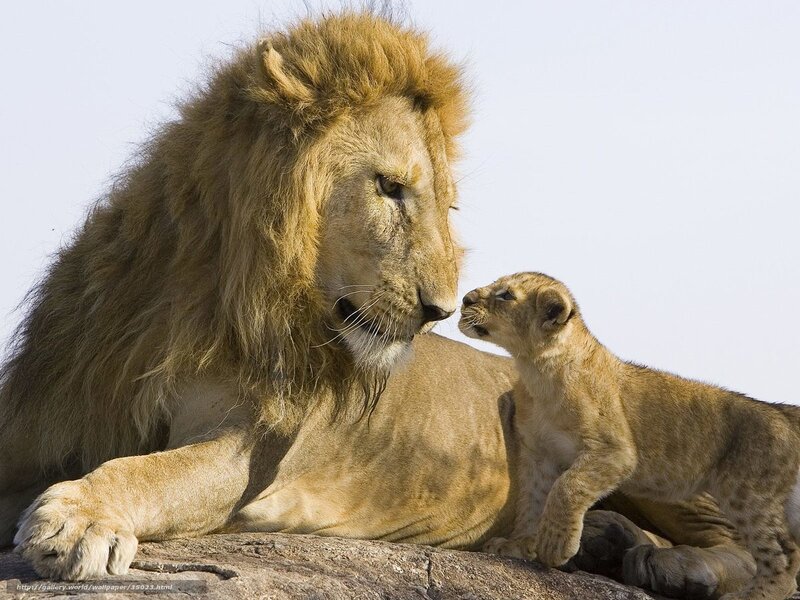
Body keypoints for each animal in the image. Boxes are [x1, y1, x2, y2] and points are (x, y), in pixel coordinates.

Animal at [0, 10, 756, 597]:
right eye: (390, 188)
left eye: (448, 206)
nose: (442, 309)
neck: (209, 296)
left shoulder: (249, 451)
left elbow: (154, 471)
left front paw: (79, 516)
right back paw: (597, 540)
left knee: (743, 546)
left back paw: (675, 564)